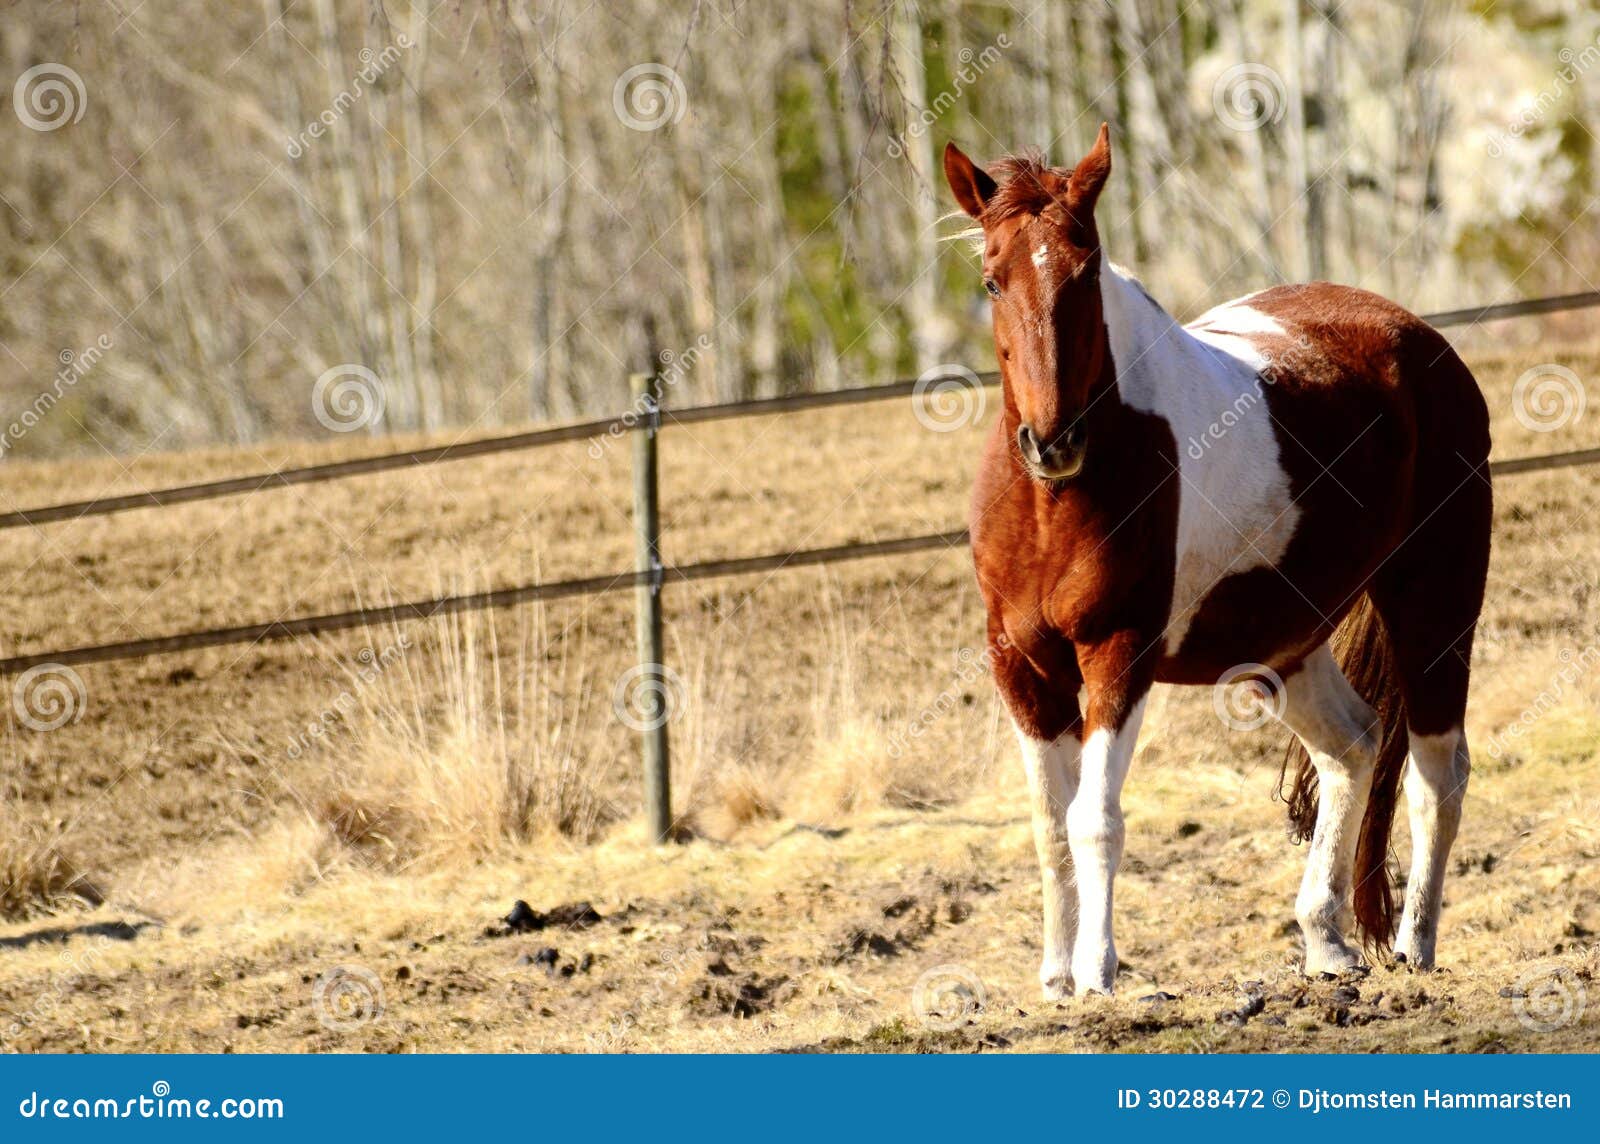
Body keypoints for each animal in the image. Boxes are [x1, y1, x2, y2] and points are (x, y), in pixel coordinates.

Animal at [942, 125, 1492, 998]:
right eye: (992, 279)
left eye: (1086, 269)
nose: (1052, 441)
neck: (1053, 504)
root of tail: (1416, 335)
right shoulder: (1020, 665)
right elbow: (1049, 824)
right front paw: (1056, 975)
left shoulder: (1119, 654)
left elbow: (1094, 820)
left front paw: (1097, 972)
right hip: (1284, 643)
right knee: (1354, 746)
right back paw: (1326, 942)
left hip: (1435, 604)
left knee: (1437, 772)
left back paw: (1415, 947)